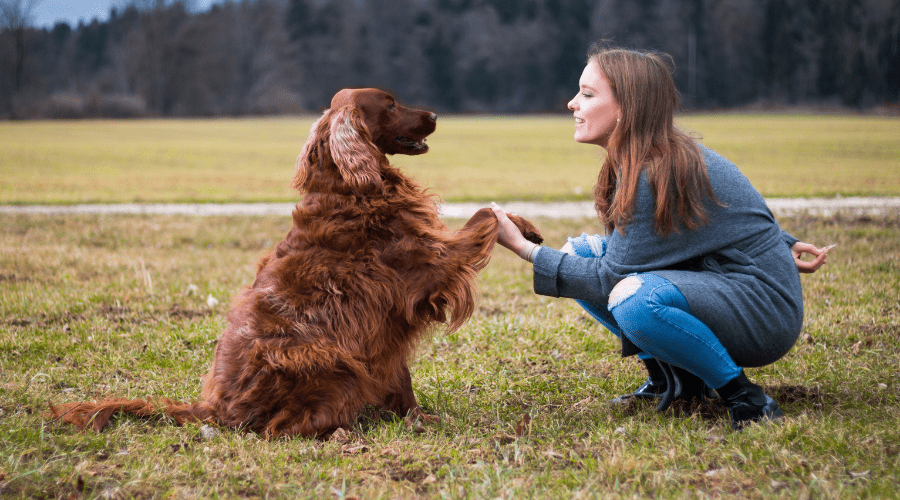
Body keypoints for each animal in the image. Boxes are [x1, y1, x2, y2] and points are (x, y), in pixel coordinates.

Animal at [52, 88, 544, 440]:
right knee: (279, 429)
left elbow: (402, 382)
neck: (349, 189)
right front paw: (514, 224)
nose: (436, 115)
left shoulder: (387, 328)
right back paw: (341, 431)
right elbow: (483, 215)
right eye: (389, 103)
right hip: (331, 360)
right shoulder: (431, 264)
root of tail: (213, 408)